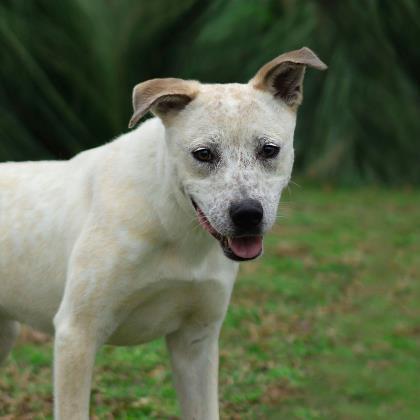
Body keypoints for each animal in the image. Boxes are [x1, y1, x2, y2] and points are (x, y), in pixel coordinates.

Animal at [0, 47, 324, 418]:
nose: (247, 215)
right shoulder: (77, 334)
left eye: (269, 150)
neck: (175, 224)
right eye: (203, 154)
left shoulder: (196, 341)